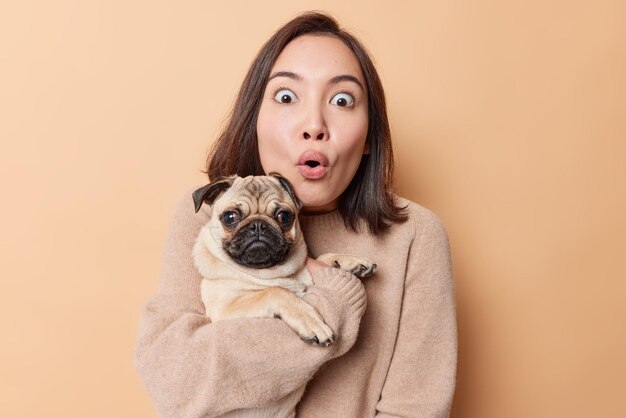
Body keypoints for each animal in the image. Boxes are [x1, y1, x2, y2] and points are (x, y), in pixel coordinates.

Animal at [190, 171, 376, 416]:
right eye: (230, 217)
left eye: (284, 216)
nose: (258, 225)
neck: (269, 272)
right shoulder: (224, 310)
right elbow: (276, 292)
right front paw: (311, 323)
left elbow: (323, 258)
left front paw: (352, 262)